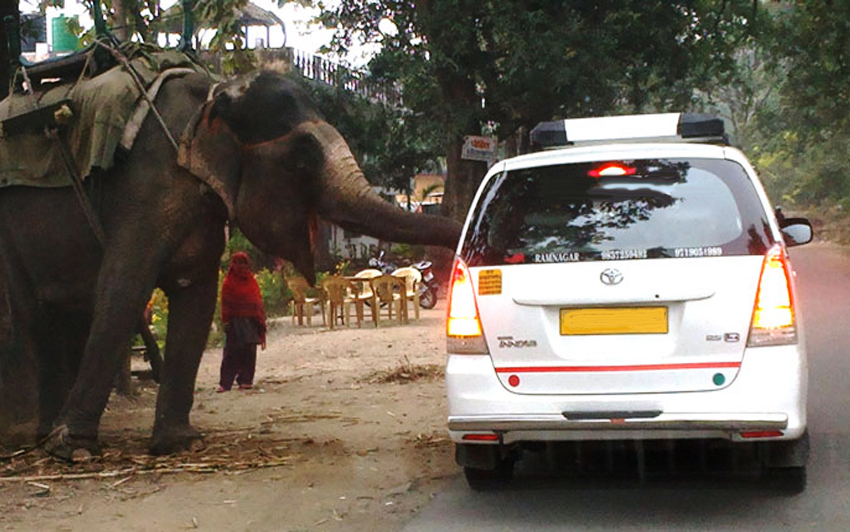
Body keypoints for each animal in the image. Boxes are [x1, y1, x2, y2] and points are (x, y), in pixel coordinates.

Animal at [0, 70, 464, 460]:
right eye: (301, 160)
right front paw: (75, 449)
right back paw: (52, 442)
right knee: (36, 315)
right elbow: (125, 287)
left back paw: (46, 434)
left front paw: (180, 444)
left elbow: (196, 296)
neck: (213, 92)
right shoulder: (145, 188)